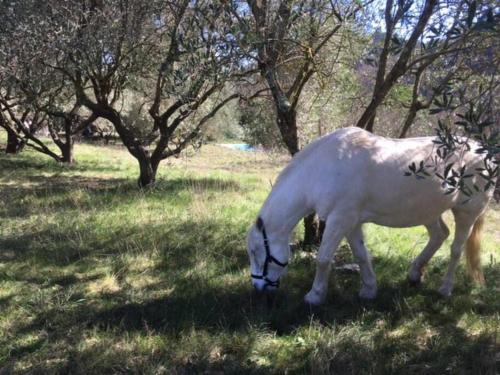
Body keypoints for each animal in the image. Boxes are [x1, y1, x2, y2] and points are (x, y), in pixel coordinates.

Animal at [247, 127, 492, 306]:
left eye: (257, 252)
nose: (258, 289)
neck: (322, 169)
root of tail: (484, 153)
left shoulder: (339, 220)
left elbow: (323, 259)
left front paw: (315, 296)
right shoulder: (351, 222)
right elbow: (361, 255)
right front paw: (369, 290)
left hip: (467, 213)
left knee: (456, 249)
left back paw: (445, 288)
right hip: (428, 211)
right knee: (439, 235)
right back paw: (415, 274)